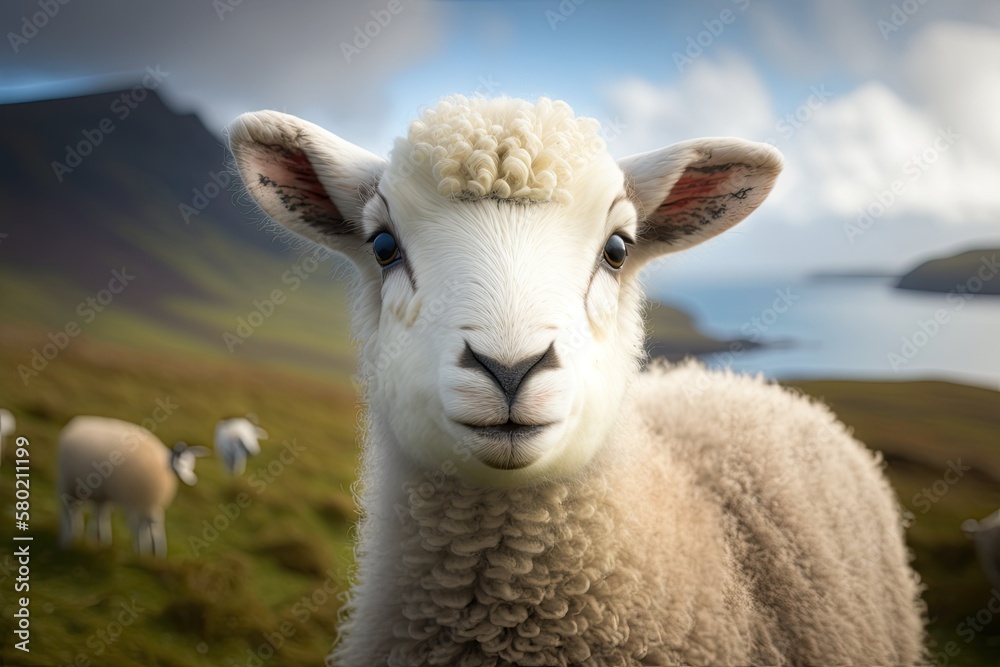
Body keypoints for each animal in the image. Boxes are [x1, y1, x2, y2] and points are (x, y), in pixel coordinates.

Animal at [57, 418, 208, 560]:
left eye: (192, 462)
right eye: (180, 461)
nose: (192, 479)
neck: (163, 467)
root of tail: (76, 423)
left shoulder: (148, 503)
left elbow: (150, 525)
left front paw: (153, 553)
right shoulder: (133, 501)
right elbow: (137, 527)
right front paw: (139, 551)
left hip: (92, 492)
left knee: (94, 514)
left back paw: (93, 539)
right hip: (67, 484)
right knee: (66, 511)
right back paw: (66, 540)